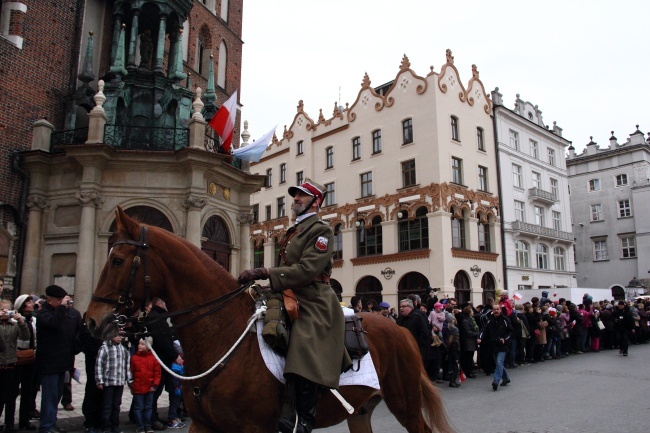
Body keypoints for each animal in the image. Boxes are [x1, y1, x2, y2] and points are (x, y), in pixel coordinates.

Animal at [85, 207, 450, 432]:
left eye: (117, 260)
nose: (91, 321)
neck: (222, 336)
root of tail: (399, 330)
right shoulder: (203, 425)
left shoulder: (253, 427)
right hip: (360, 411)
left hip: (404, 403)